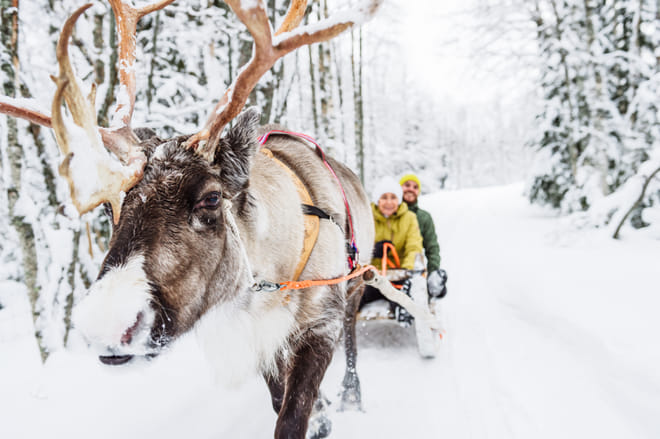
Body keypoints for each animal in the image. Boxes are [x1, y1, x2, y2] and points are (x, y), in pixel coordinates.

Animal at [0, 1, 383, 438]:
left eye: (211, 198)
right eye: (108, 207)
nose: (109, 325)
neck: (269, 280)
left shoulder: (321, 321)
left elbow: (292, 414)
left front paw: (320, 414)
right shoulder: (258, 337)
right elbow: (278, 397)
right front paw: (321, 411)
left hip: (357, 284)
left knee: (352, 337)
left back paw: (351, 392)